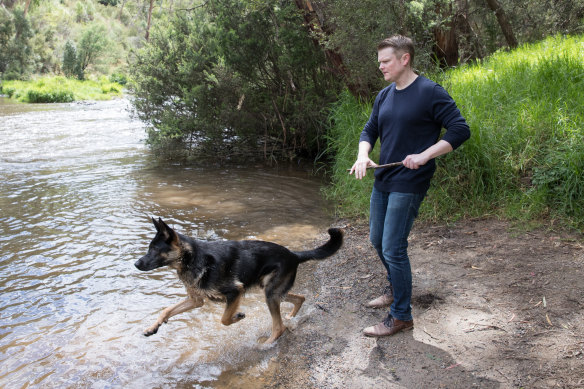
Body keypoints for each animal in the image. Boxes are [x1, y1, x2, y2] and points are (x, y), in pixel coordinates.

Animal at [133, 218, 342, 342]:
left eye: (154, 249)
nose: (135, 263)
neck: (191, 258)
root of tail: (294, 254)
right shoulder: (196, 300)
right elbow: (166, 310)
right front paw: (153, 327)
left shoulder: (235, 292)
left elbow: (224, 319)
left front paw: (237, 316)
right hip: (270, 290)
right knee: (299, 298)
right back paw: (291, 316)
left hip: (270, 295)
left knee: (279, 327)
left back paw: (266, 344)